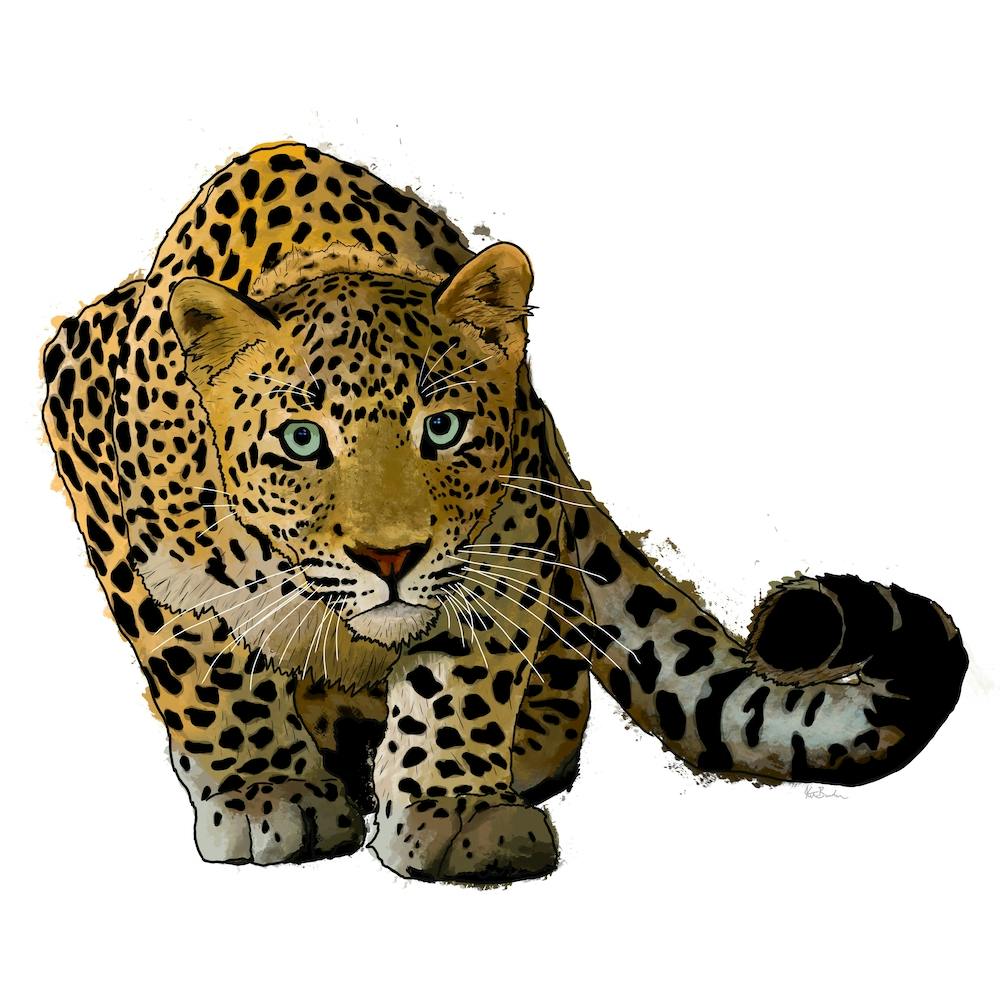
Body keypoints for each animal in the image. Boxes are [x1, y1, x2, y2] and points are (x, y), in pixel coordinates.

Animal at [42, 141, 968, 883]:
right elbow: (199, 657)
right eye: (302, 440)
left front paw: (454, 810)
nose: (390, 558)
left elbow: (462, 673)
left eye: (443, 429)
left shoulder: (510, 532)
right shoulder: (82, 414)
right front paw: (270, 790)